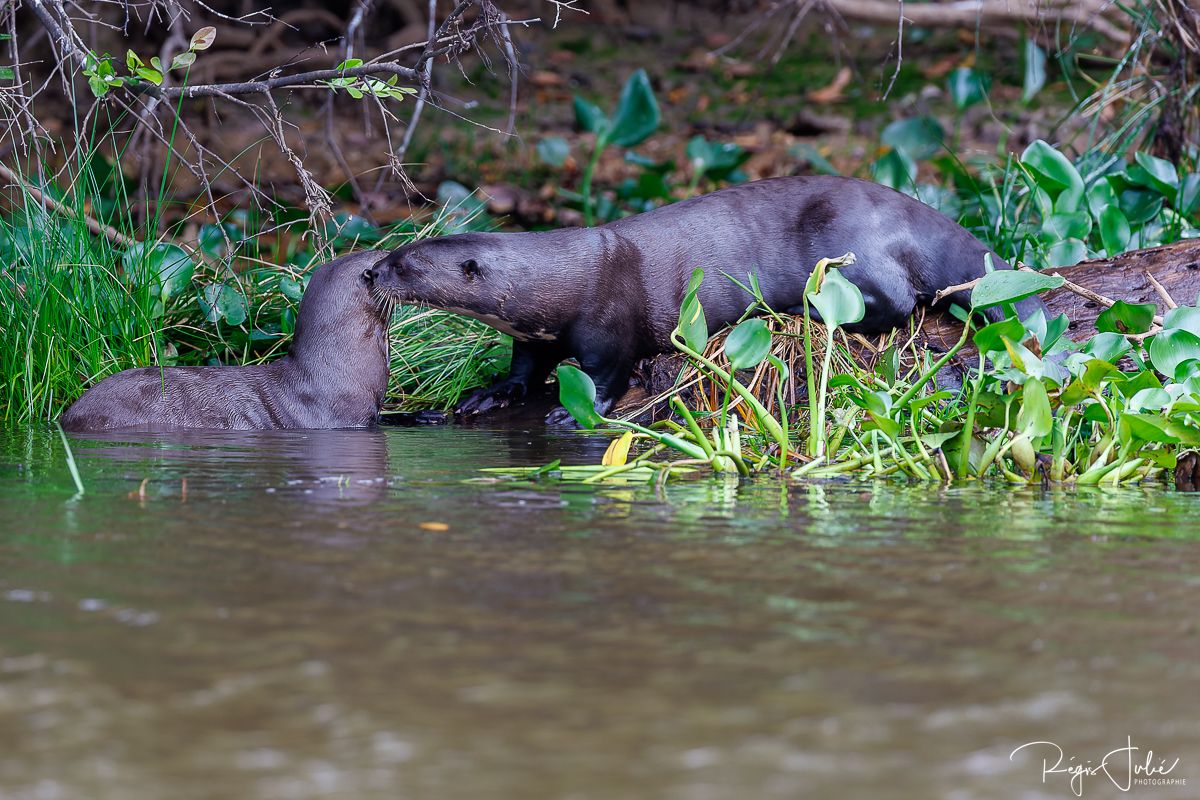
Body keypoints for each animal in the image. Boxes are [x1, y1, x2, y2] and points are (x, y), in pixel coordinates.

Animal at [379, 176, 1046, 424]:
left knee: (897, 304)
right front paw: (487, 394)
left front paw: (576, 411)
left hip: (853, 250)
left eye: (403, 263)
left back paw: (799, 310)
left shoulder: (607, 323)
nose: (369, 275)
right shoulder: (529, 334)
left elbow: (607, 373)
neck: (559, 280)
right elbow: (523, 370)